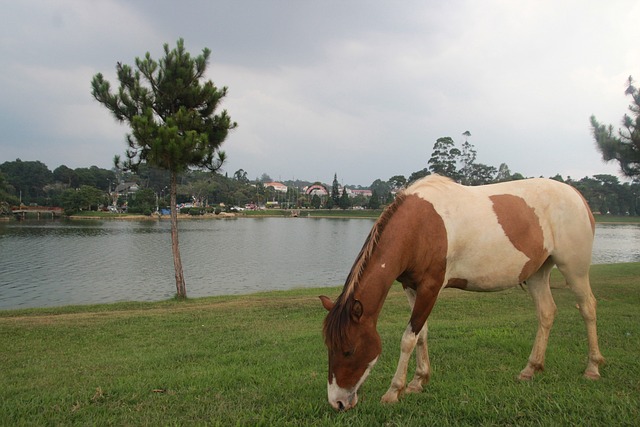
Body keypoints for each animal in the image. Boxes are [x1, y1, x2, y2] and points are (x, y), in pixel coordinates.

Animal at [320, 176, 604, 412]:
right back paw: (530, 369)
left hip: (574, 269)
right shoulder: (412, 287)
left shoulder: (431, 287)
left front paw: (394, 390)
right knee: (546, 313)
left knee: (588, 308)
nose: (338, 402)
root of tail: (578, 196)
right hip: (537, 273)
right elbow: (421, 334)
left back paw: (592, 368)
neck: (419, 226)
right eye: (329, 348)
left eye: (349, 350)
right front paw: (418, 381)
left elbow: (408, 338)